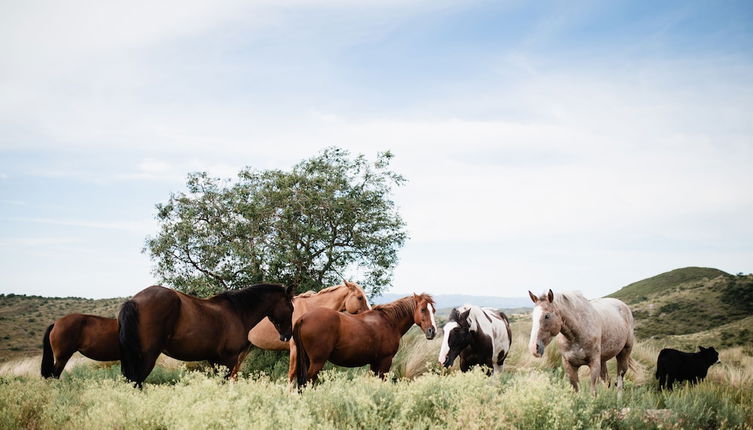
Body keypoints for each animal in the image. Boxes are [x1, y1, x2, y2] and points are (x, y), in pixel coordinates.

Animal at [119, 282, 292, 386]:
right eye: (291, 307)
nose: (287, 336)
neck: (238, 312)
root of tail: (134, 301)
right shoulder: (228, 360)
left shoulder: (215, 360)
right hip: (147, 357)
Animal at [292, 292, 438, 386]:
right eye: (423, 309)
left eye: (433, 311)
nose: (432, 331)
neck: (389, 321)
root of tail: (303, 318)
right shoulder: (385, 361)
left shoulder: (375, 362)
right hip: (317, 362)